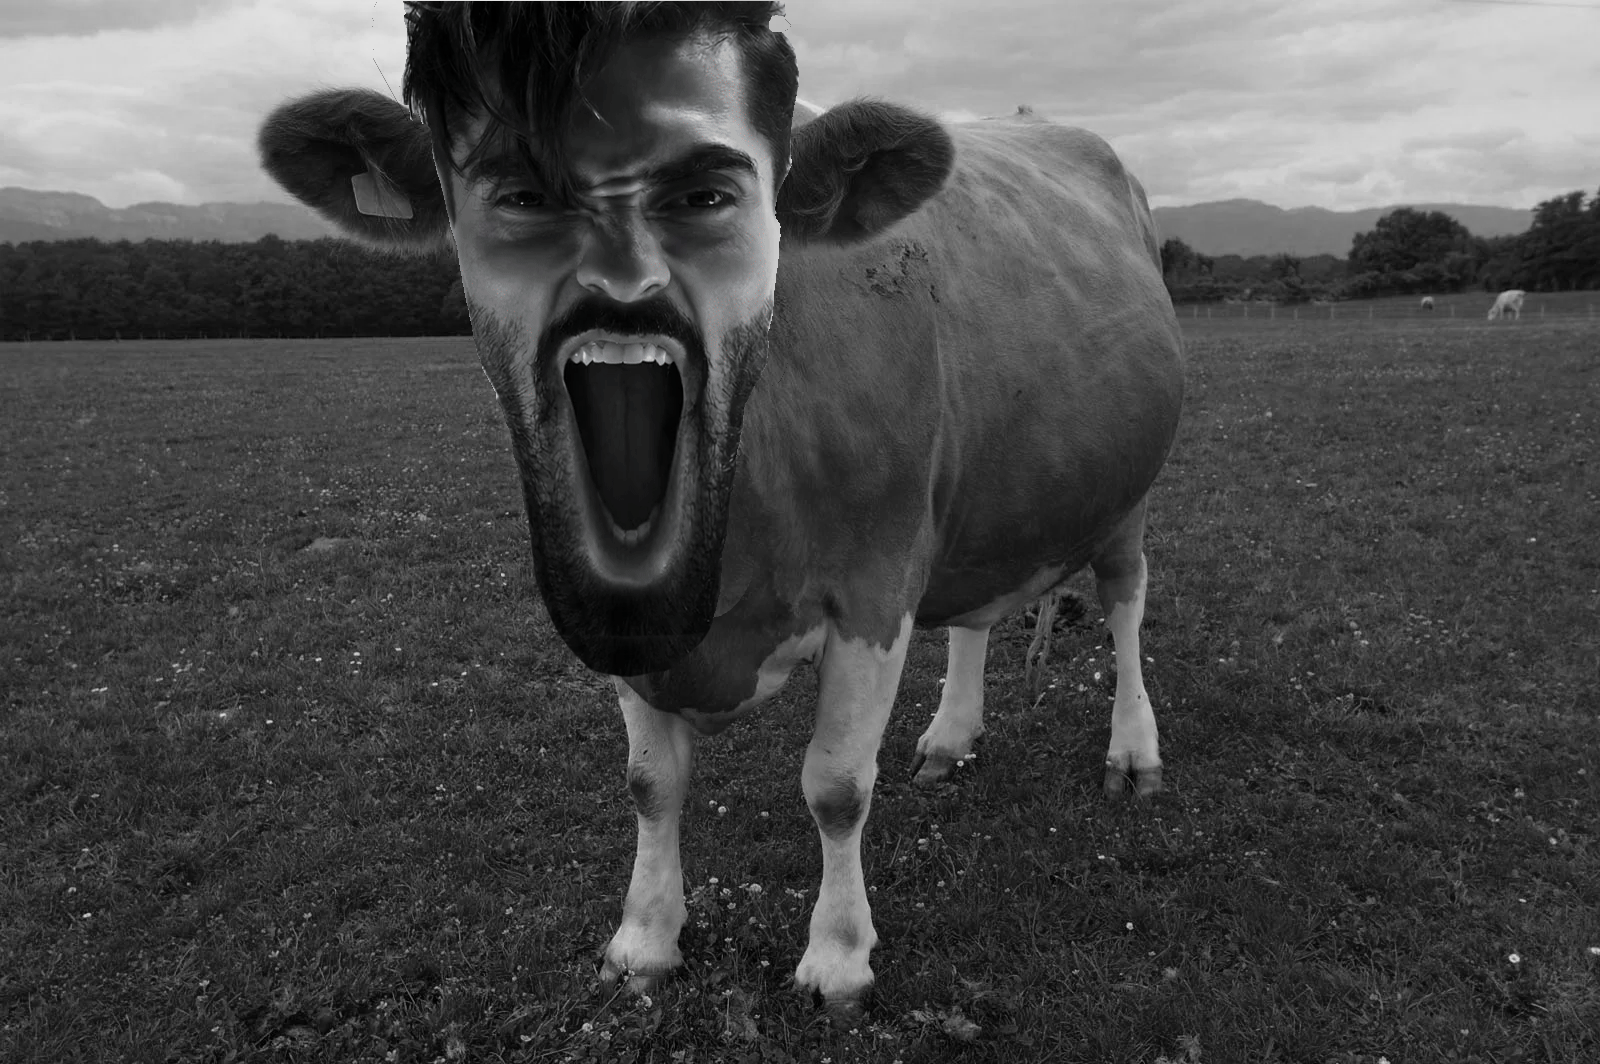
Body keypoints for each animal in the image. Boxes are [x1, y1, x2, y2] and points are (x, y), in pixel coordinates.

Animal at [257, 2, 1184, 1008]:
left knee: (1126, 600)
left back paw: (1133, 751)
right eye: (520, 194)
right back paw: (950, 736)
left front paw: (838, 954)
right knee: (976, 612)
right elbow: (649, 782)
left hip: (1129, 489)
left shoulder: (875, 581)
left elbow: (836, 786)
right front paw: (645, 935)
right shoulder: (619, 606)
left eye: (706, 199)